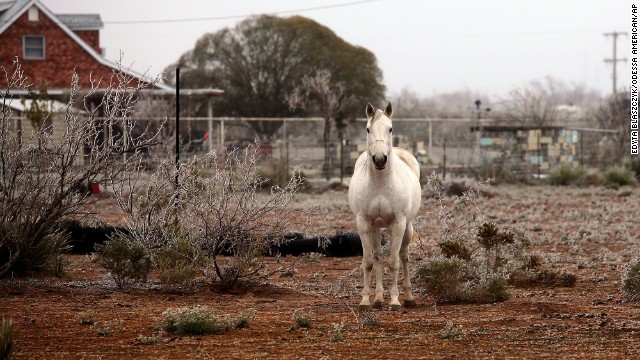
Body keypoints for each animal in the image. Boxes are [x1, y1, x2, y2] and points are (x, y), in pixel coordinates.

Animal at [348, 101, 422, 310]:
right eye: (367, 129)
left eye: (390, 128)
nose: (380, 159)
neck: (381, 184)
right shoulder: (364, 224)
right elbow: (369, 261)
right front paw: (366, 300)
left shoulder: (398, 224)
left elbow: (394, 262)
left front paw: (395, 300)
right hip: (376, 228)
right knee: (378, 257)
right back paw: (379, 299)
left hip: (407, 228)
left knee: (404, 256)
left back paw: (408, 297)